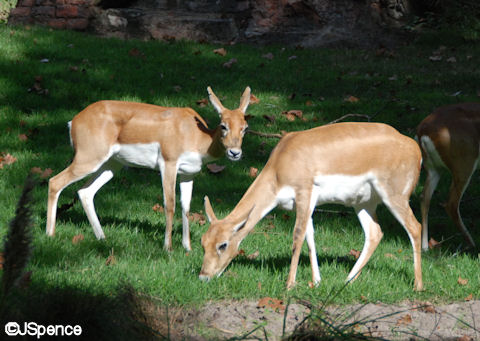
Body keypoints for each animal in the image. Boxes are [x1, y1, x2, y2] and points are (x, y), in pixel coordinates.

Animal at [47, 85, 253, 250]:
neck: (197, 135)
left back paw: (102, 237)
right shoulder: (168, 164)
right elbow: (169, 204)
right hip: (88, 159)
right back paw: (50, 234)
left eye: (245, 128)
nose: (235, 152)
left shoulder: (188, 174)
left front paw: (187, 247)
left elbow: (186, 206)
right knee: (55, 182)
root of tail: (74, 120)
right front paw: (167, 247)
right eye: (223, 125)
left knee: (85, 192)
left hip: (111, 165)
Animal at [201, 122, 422, 290]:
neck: (280, 165)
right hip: (363, 203)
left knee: (415, 227)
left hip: (395, 196)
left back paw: (417, 286)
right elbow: (310, 237)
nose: (203, 276)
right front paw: (316, 281)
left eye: (223, 244)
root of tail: (415, 148)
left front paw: (290, 284)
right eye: (203, 242)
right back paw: (347, 280)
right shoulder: (304, 204)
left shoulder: (304, 193)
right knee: (375, 233)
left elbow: (297, 237)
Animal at [416, 101, 480, 250]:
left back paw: (425, 246)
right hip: (464, 162)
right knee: (451, 203)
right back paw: (472, 244)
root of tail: (423, 132)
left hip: (433, 168)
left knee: (424, 197)